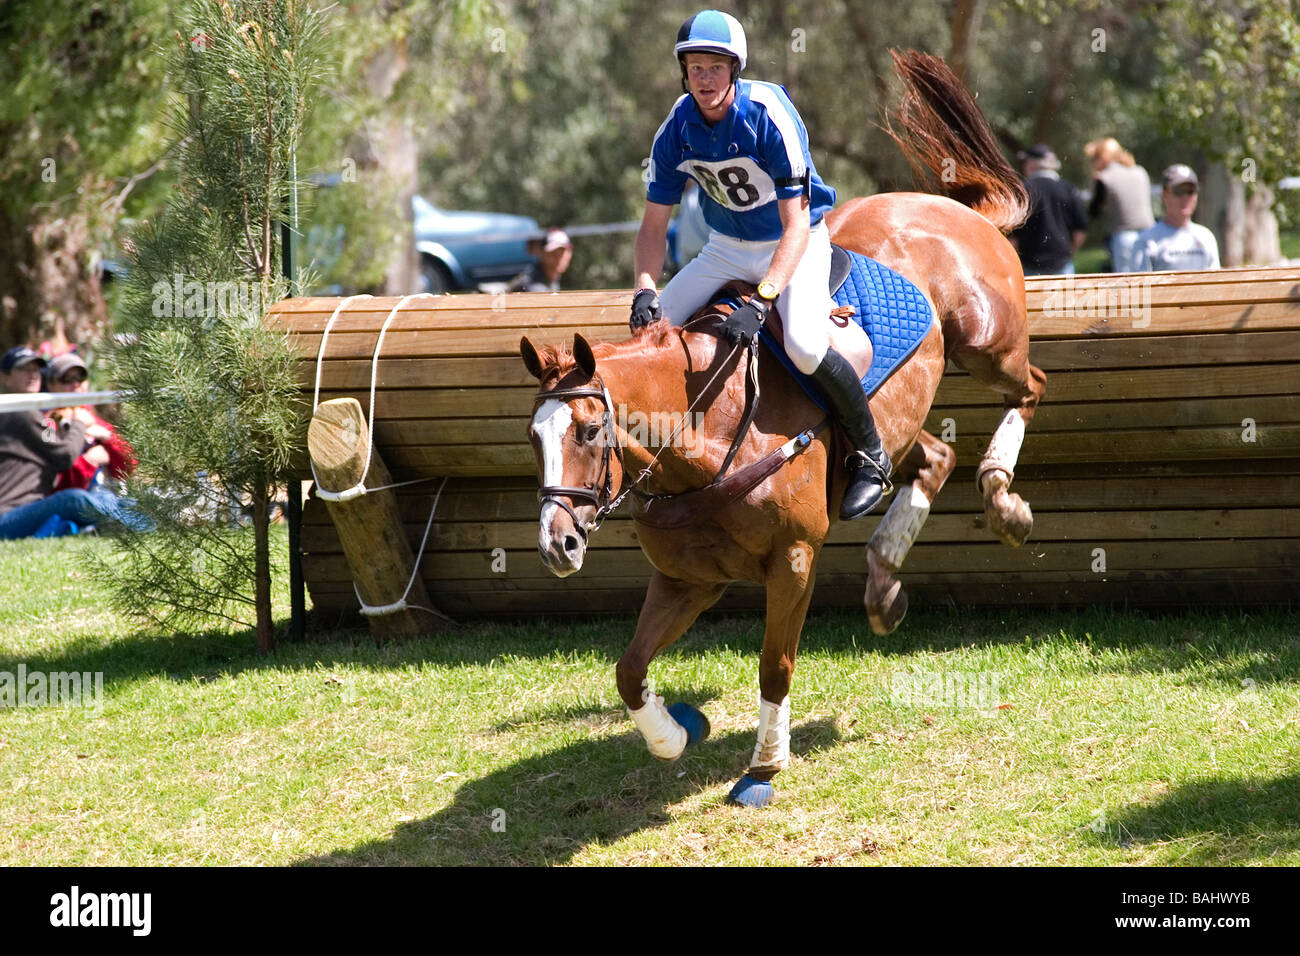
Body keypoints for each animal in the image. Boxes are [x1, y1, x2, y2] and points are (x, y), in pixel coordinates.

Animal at [517, 52, 1045, 811]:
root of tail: (949, 206)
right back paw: (883, 580)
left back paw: (1003, 500)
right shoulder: (686, 578)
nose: (556, 545)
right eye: (533, 438)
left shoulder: (792, 559)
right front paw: (675, 736)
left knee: (1030, 389)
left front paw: (763, 769)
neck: (699, 446)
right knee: (932, 457)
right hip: (904, 414)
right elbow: (629, 669)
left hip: (987, 342)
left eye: (588, 432)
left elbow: (774, 665)